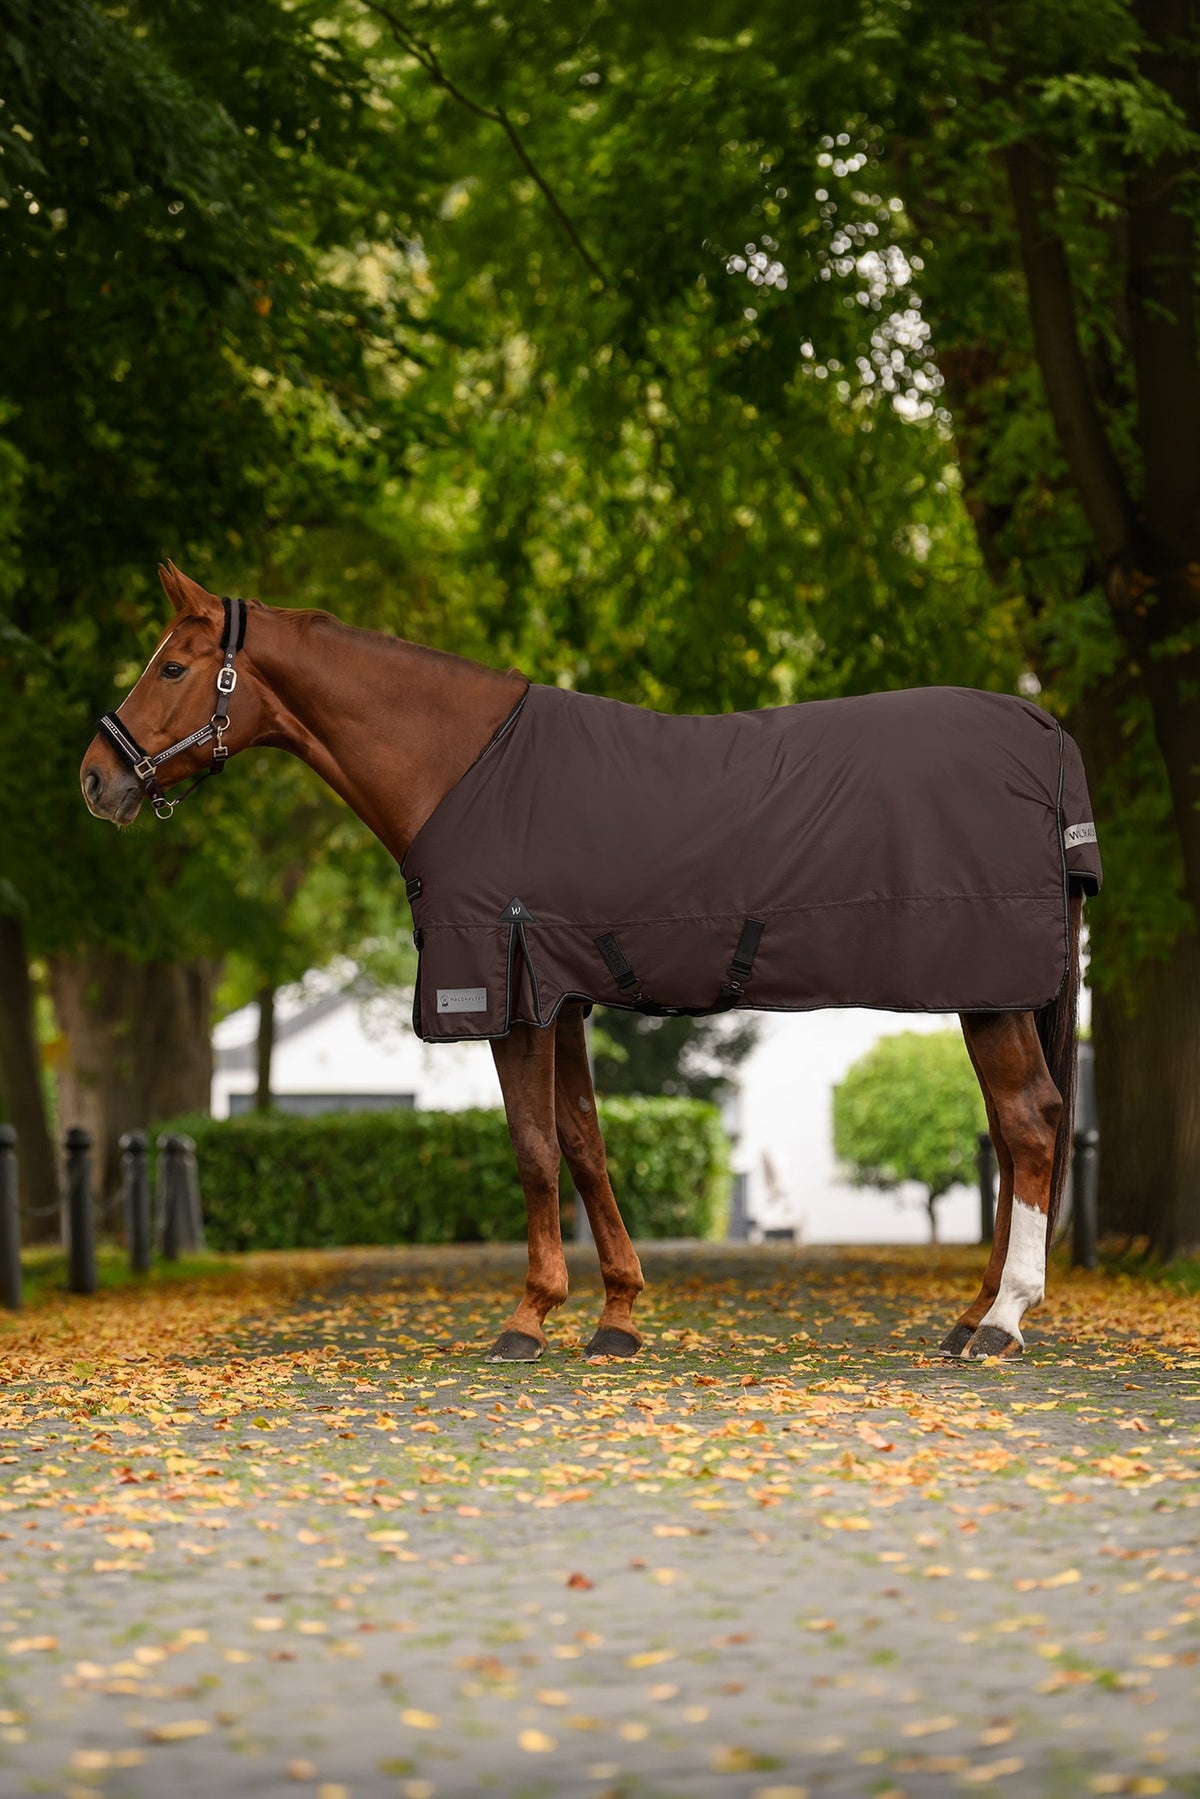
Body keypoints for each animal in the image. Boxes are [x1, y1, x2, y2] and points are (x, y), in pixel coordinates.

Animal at [81, 563, 1096, 1364]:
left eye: (172, 665)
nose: (98, 777)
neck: (463, 769)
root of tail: (1043, 731)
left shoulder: (506, 990)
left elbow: (533, 1151)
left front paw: (528, 1319)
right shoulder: (558, 996)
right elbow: (584, 1144)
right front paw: (617, 1315)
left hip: (989, 991)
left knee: (1030, 1125)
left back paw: (1003, 1321)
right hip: (990, 993)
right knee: (1010, 1133)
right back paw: (970, 1316)